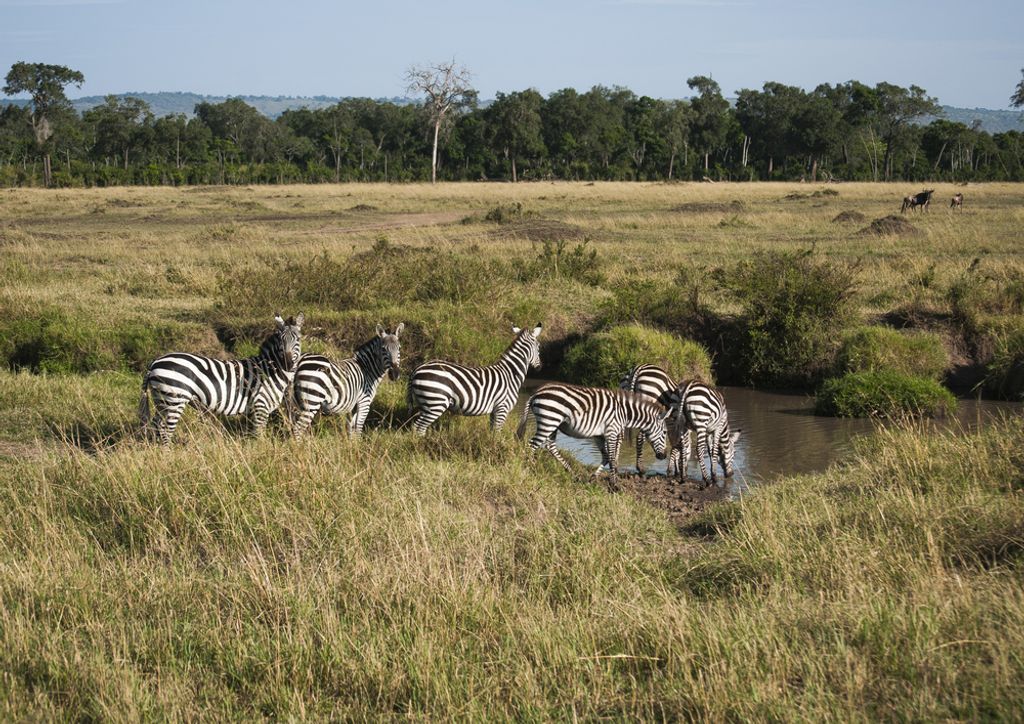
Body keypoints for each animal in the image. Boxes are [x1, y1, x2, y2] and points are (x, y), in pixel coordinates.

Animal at [138, 313, 303, 445]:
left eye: (297, 340)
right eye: (281, 341)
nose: (288, 363)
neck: (269, 370)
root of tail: (155, 362)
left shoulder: (257, 409)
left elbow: (254, 434)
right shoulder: (260, 405)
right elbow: (259, 435)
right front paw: (261, 452)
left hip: (162, 401)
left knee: (156, 425)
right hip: (175, 399)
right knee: (166, 429)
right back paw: (168, 455)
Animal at [407, 324, 542, 435]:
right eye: (539, 347)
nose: (540, 367)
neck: (510, 373)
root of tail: (417, 368)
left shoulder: (494, 410)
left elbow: (492, 432)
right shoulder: (502, 408)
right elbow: (497, 433)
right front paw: (496, 448)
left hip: (425, 403)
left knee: (417, 425)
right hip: (436, 403)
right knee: (418, 426)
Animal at [516, 382, 671, 487]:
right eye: (665, 432)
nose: (663, 456)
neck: (625, 412)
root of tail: (536, 393)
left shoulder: (599, 435)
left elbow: (606, 457)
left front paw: (593, 478)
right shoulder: (611, 432)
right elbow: (612, 459)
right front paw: (615, 485)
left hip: (552, 424)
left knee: (550, 446)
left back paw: (572, 473)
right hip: (549, 421)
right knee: (531, 446)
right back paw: (531, 469)